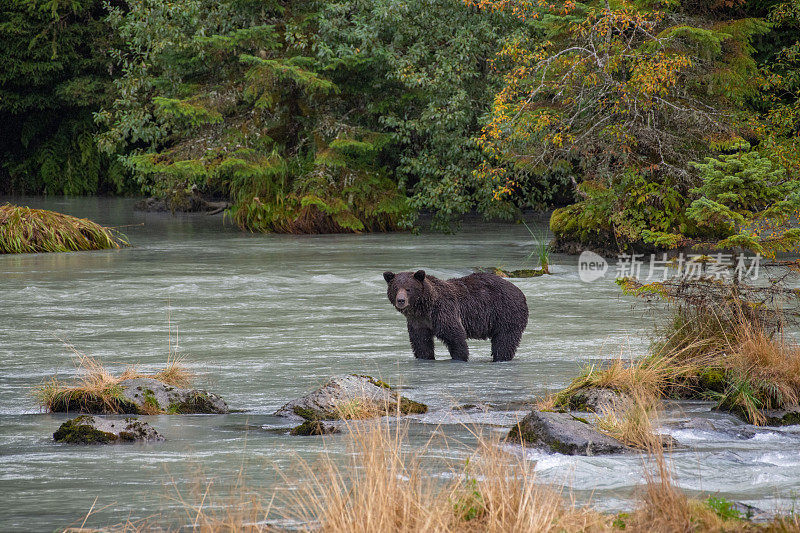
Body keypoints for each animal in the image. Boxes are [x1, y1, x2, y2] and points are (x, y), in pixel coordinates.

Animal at [382, 270, 528, 362]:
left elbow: (455, 336)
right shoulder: (418, 322)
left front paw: (460, 357)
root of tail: (519, 291)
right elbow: (421, 342)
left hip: (505, 313)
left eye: (408, 289)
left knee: (504, 340)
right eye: (396, 288)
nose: (401, 300)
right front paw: (425, 357)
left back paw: (500, 358)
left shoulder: (444, 311)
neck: (425, 308)